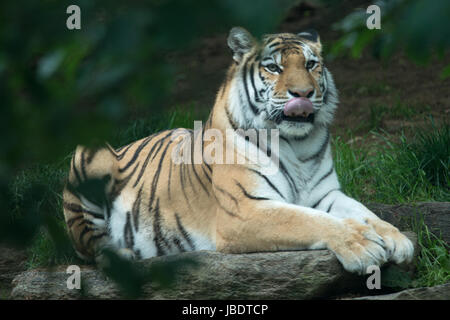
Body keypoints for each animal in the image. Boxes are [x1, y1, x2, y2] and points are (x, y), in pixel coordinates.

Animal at [63, 26, 414, 276]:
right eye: (274, 68)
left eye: (311, 65)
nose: (303, 93)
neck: (298, 144)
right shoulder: (244, 208)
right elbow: (308, 221)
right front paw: (363, 245)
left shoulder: (325, 195)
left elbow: (364, 212)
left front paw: (397, 239)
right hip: (88, 157)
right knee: (90, 246)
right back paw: (124, 255)